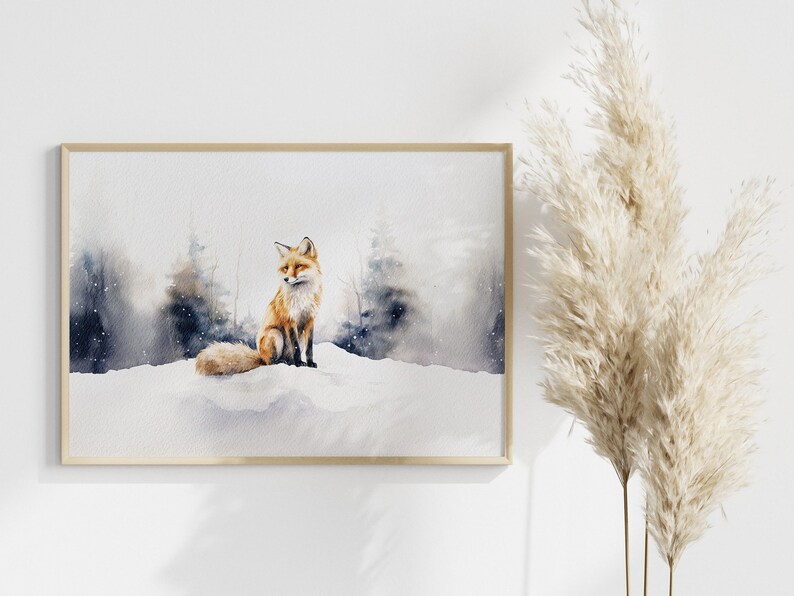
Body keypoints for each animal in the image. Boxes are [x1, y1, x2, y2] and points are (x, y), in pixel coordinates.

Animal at [195, 237, 323, 376]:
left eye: (299, 266)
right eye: (286, 268)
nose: (286, 279)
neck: (302, 295)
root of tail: (261, 356)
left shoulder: (310, 319)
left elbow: (309, 348)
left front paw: (310, 364)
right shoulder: (289, 319)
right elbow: (296, 348)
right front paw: (299, 363)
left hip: (299, 337)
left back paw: (290, 362)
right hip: (275, 333)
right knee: (270, 362)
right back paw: (283, 361)